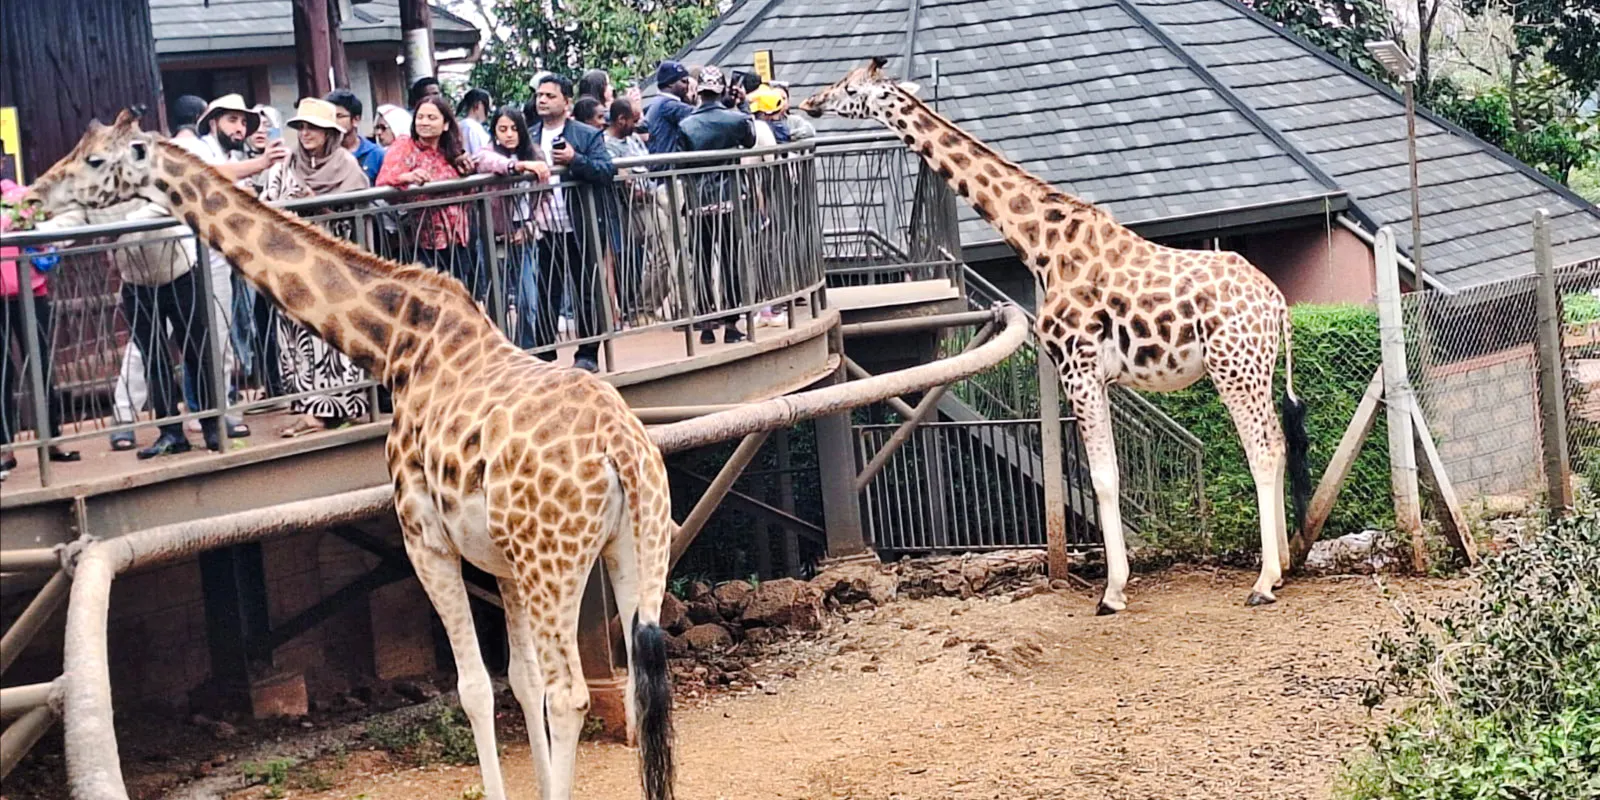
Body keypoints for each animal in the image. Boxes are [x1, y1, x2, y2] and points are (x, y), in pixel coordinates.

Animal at [28, 110, 677, 800]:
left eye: (96, 161)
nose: (36, 196)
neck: (397, 343)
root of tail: (622, 449)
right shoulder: (500, 562)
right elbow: (519, 685)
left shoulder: (425, 538)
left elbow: (476, 689)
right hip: (632, 545)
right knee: (635, 683)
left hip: (554, 560)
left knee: (570, 695)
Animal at [801, 59, 1311, 611]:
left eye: (851, 88)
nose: (811, 102)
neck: (1041, 245)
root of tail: (1276, 302)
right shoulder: (1098, 376)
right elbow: (1106, 474)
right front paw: (1115, 584)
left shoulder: (1077, 365)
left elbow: (1103, 477)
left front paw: (1112, 592)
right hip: (1256, 368)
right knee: (1279, 441)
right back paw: (1283, 568)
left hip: (1231, 367)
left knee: (1262, 449)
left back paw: (1263, 582)